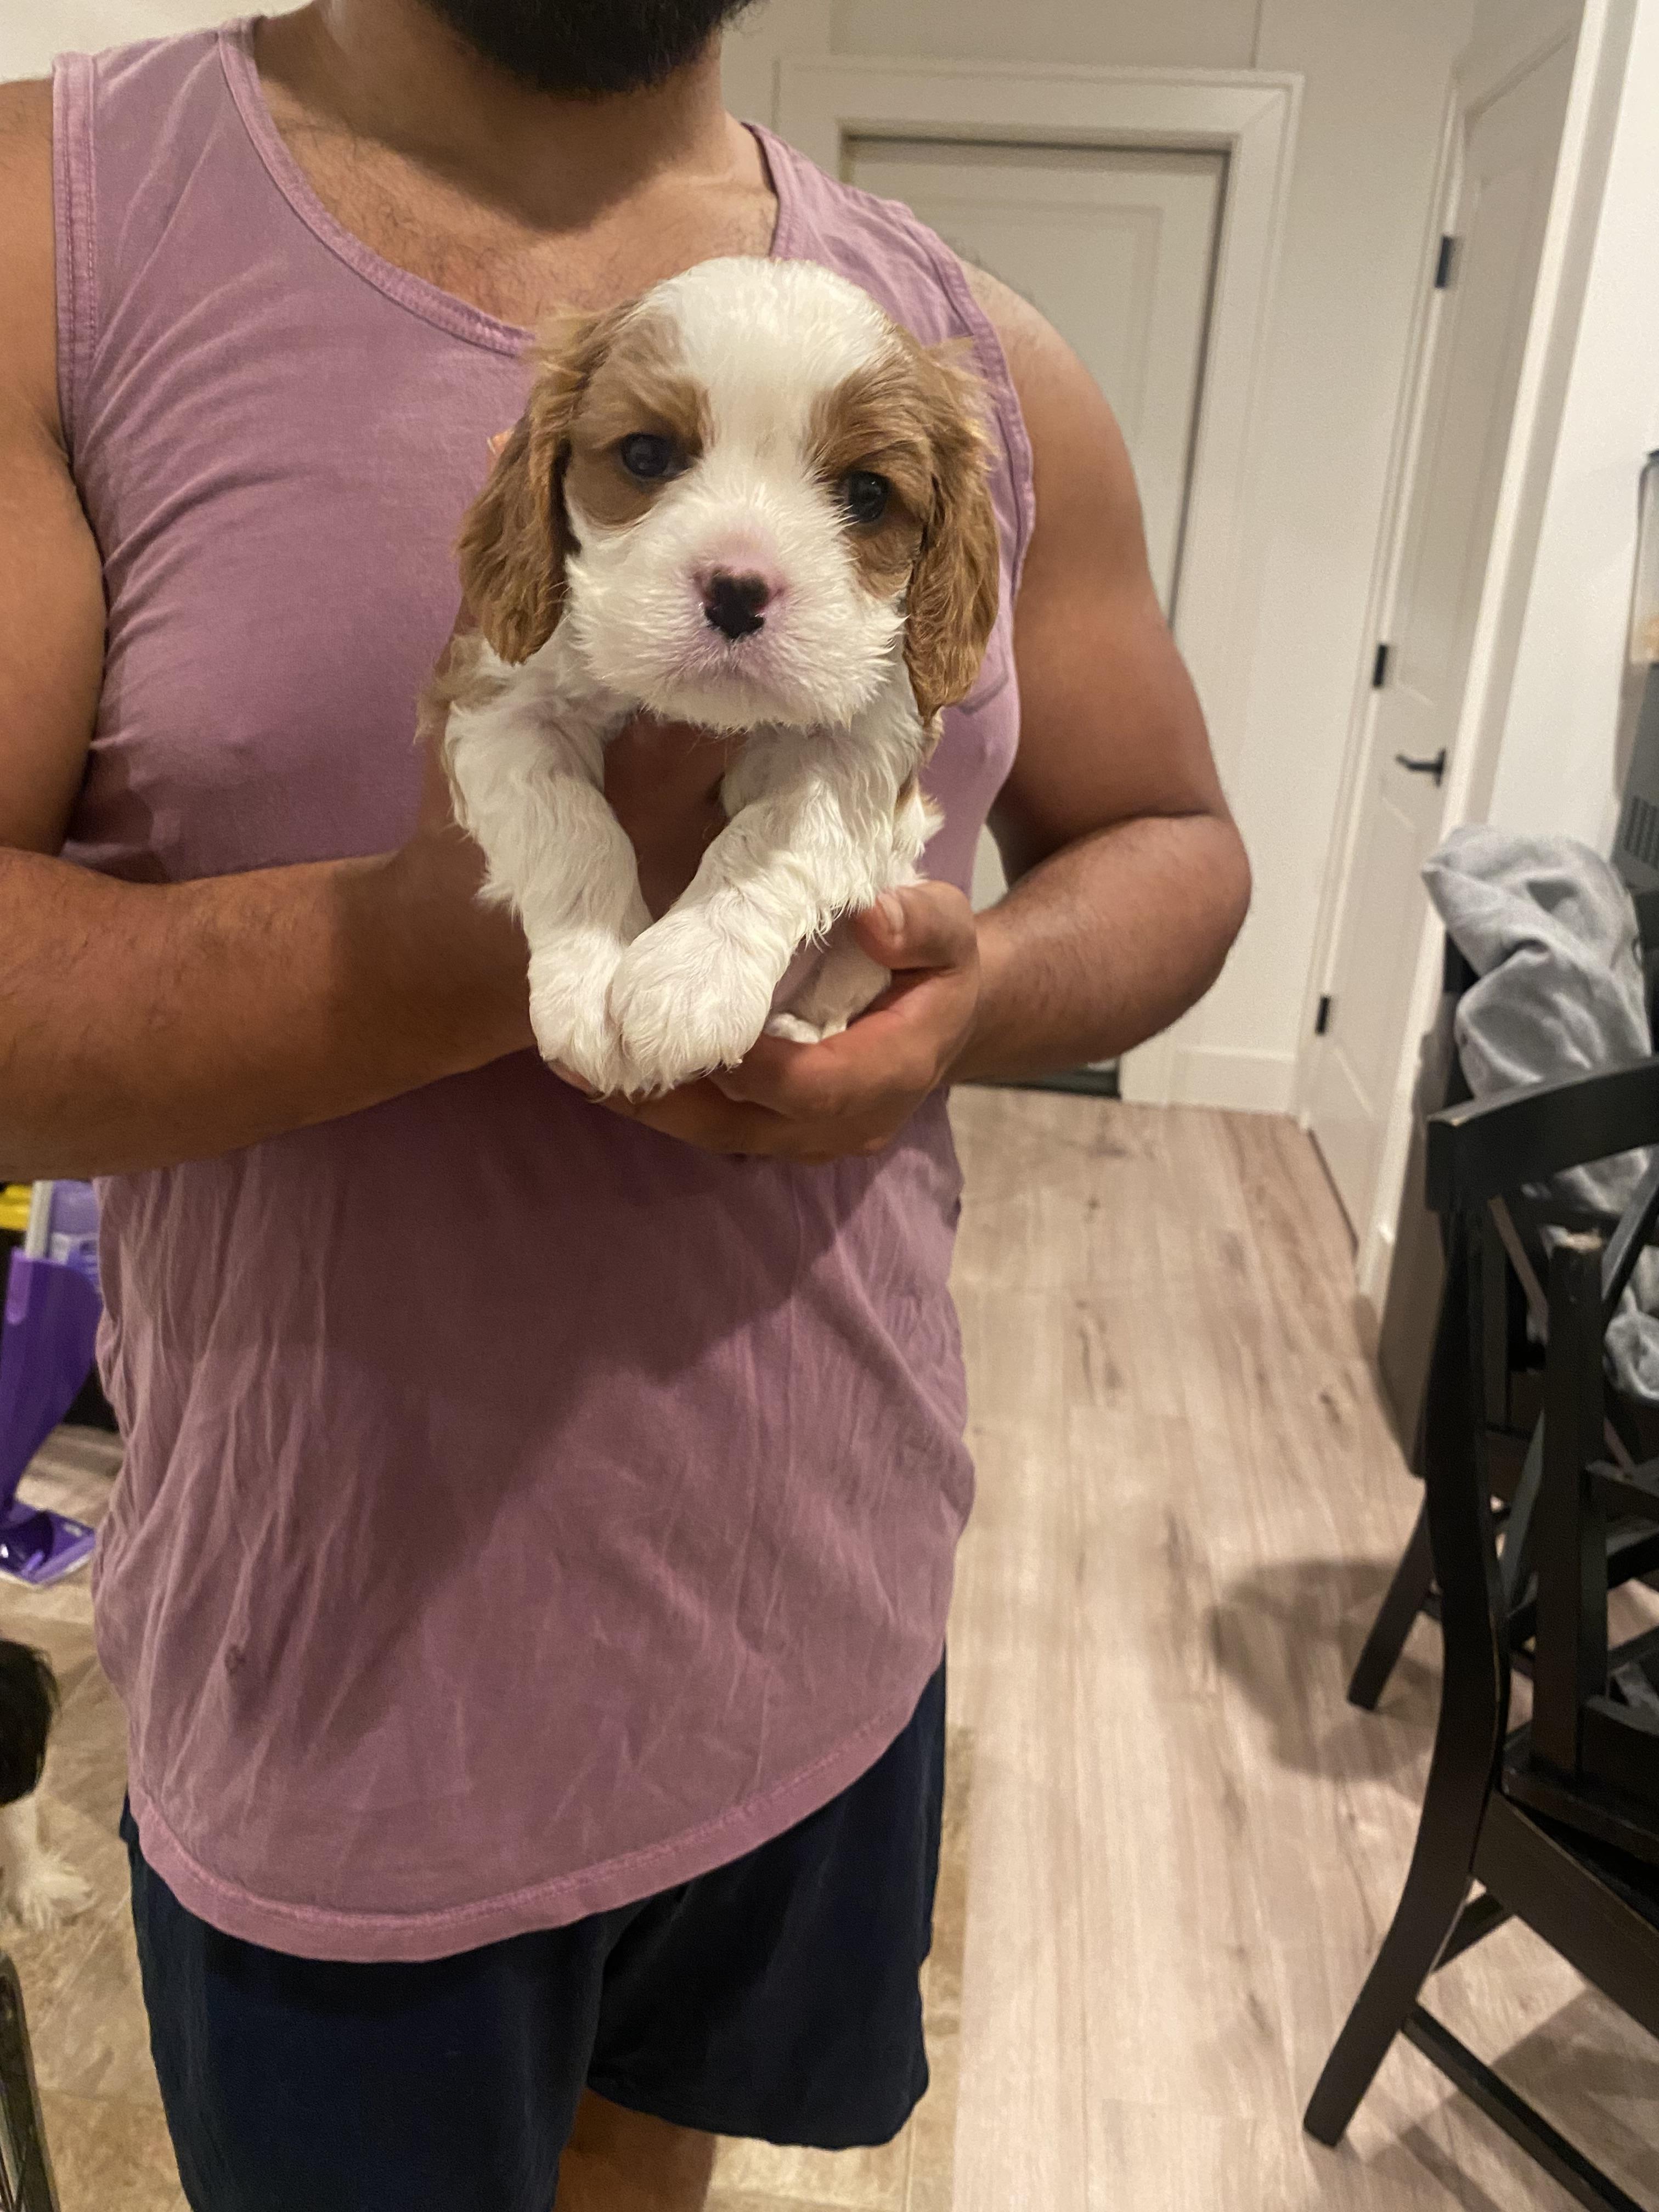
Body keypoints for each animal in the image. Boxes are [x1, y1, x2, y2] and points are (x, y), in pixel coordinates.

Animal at [435, 256, 1000, 1099]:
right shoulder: (498, 700)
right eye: (645, 456)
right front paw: (591, 980)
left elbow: (778, 830)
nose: (738, 589)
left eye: (868, 494)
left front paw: (694, 978)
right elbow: (569, 819)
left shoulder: (871, 739)